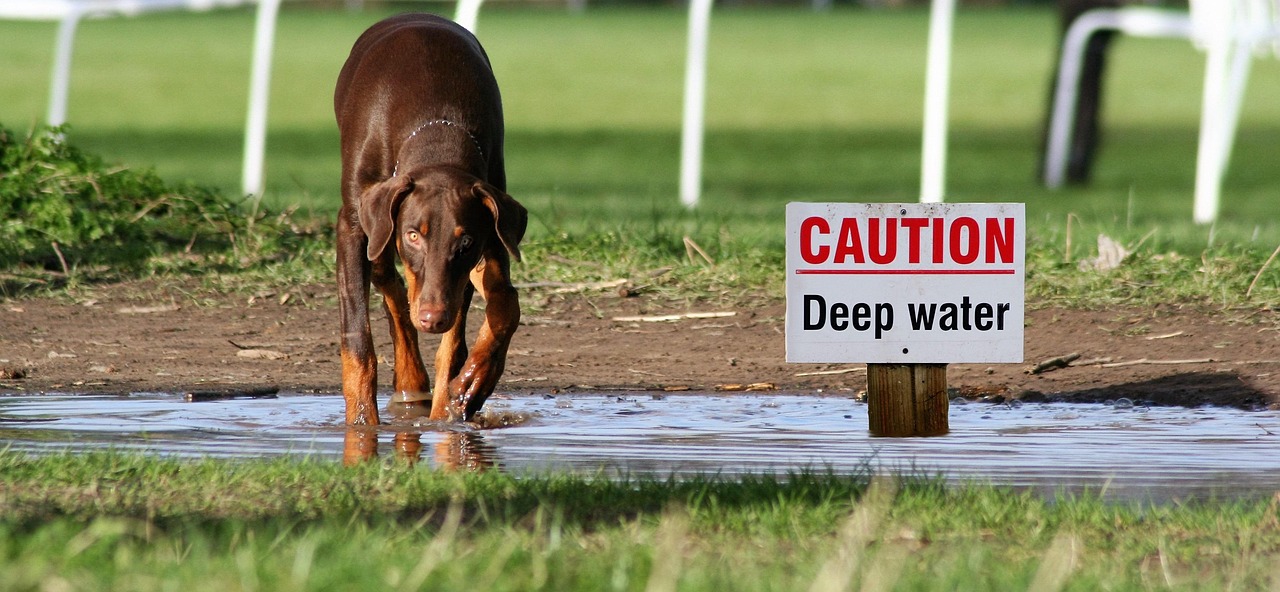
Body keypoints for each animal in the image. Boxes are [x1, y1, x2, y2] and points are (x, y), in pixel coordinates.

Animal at [335, 13, 529, 425]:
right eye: (413, 235)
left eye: (465, 242)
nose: (432, 319)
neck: (437, 131)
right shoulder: (355, 225)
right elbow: (359, 340)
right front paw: (362, 424)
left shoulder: (491, 226)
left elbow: (493, 313)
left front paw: (464, 393)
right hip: (377, 225)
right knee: (388, 280)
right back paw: (409, 379)